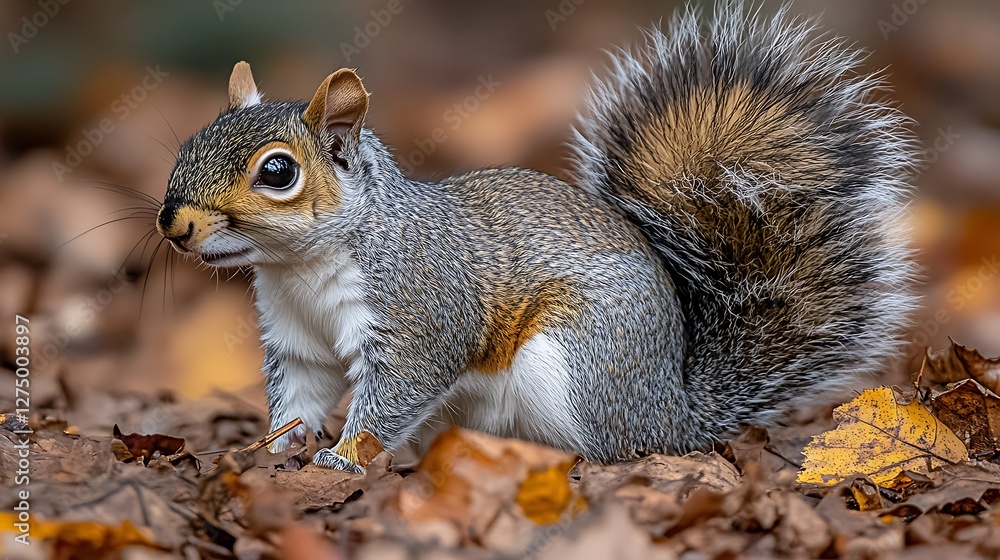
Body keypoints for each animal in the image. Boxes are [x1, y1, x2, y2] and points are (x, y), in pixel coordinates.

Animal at [156, 3, 917, 472]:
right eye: (189, 143)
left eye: (278, 172)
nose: (174, 223)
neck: (301, 267)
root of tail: (675, 413)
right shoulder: (295, 337)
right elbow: (299, 398)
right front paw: (273, 451)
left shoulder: (421, 310)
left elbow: (395, 392)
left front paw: (344, 457)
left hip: (574, 363)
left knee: (611, 451)